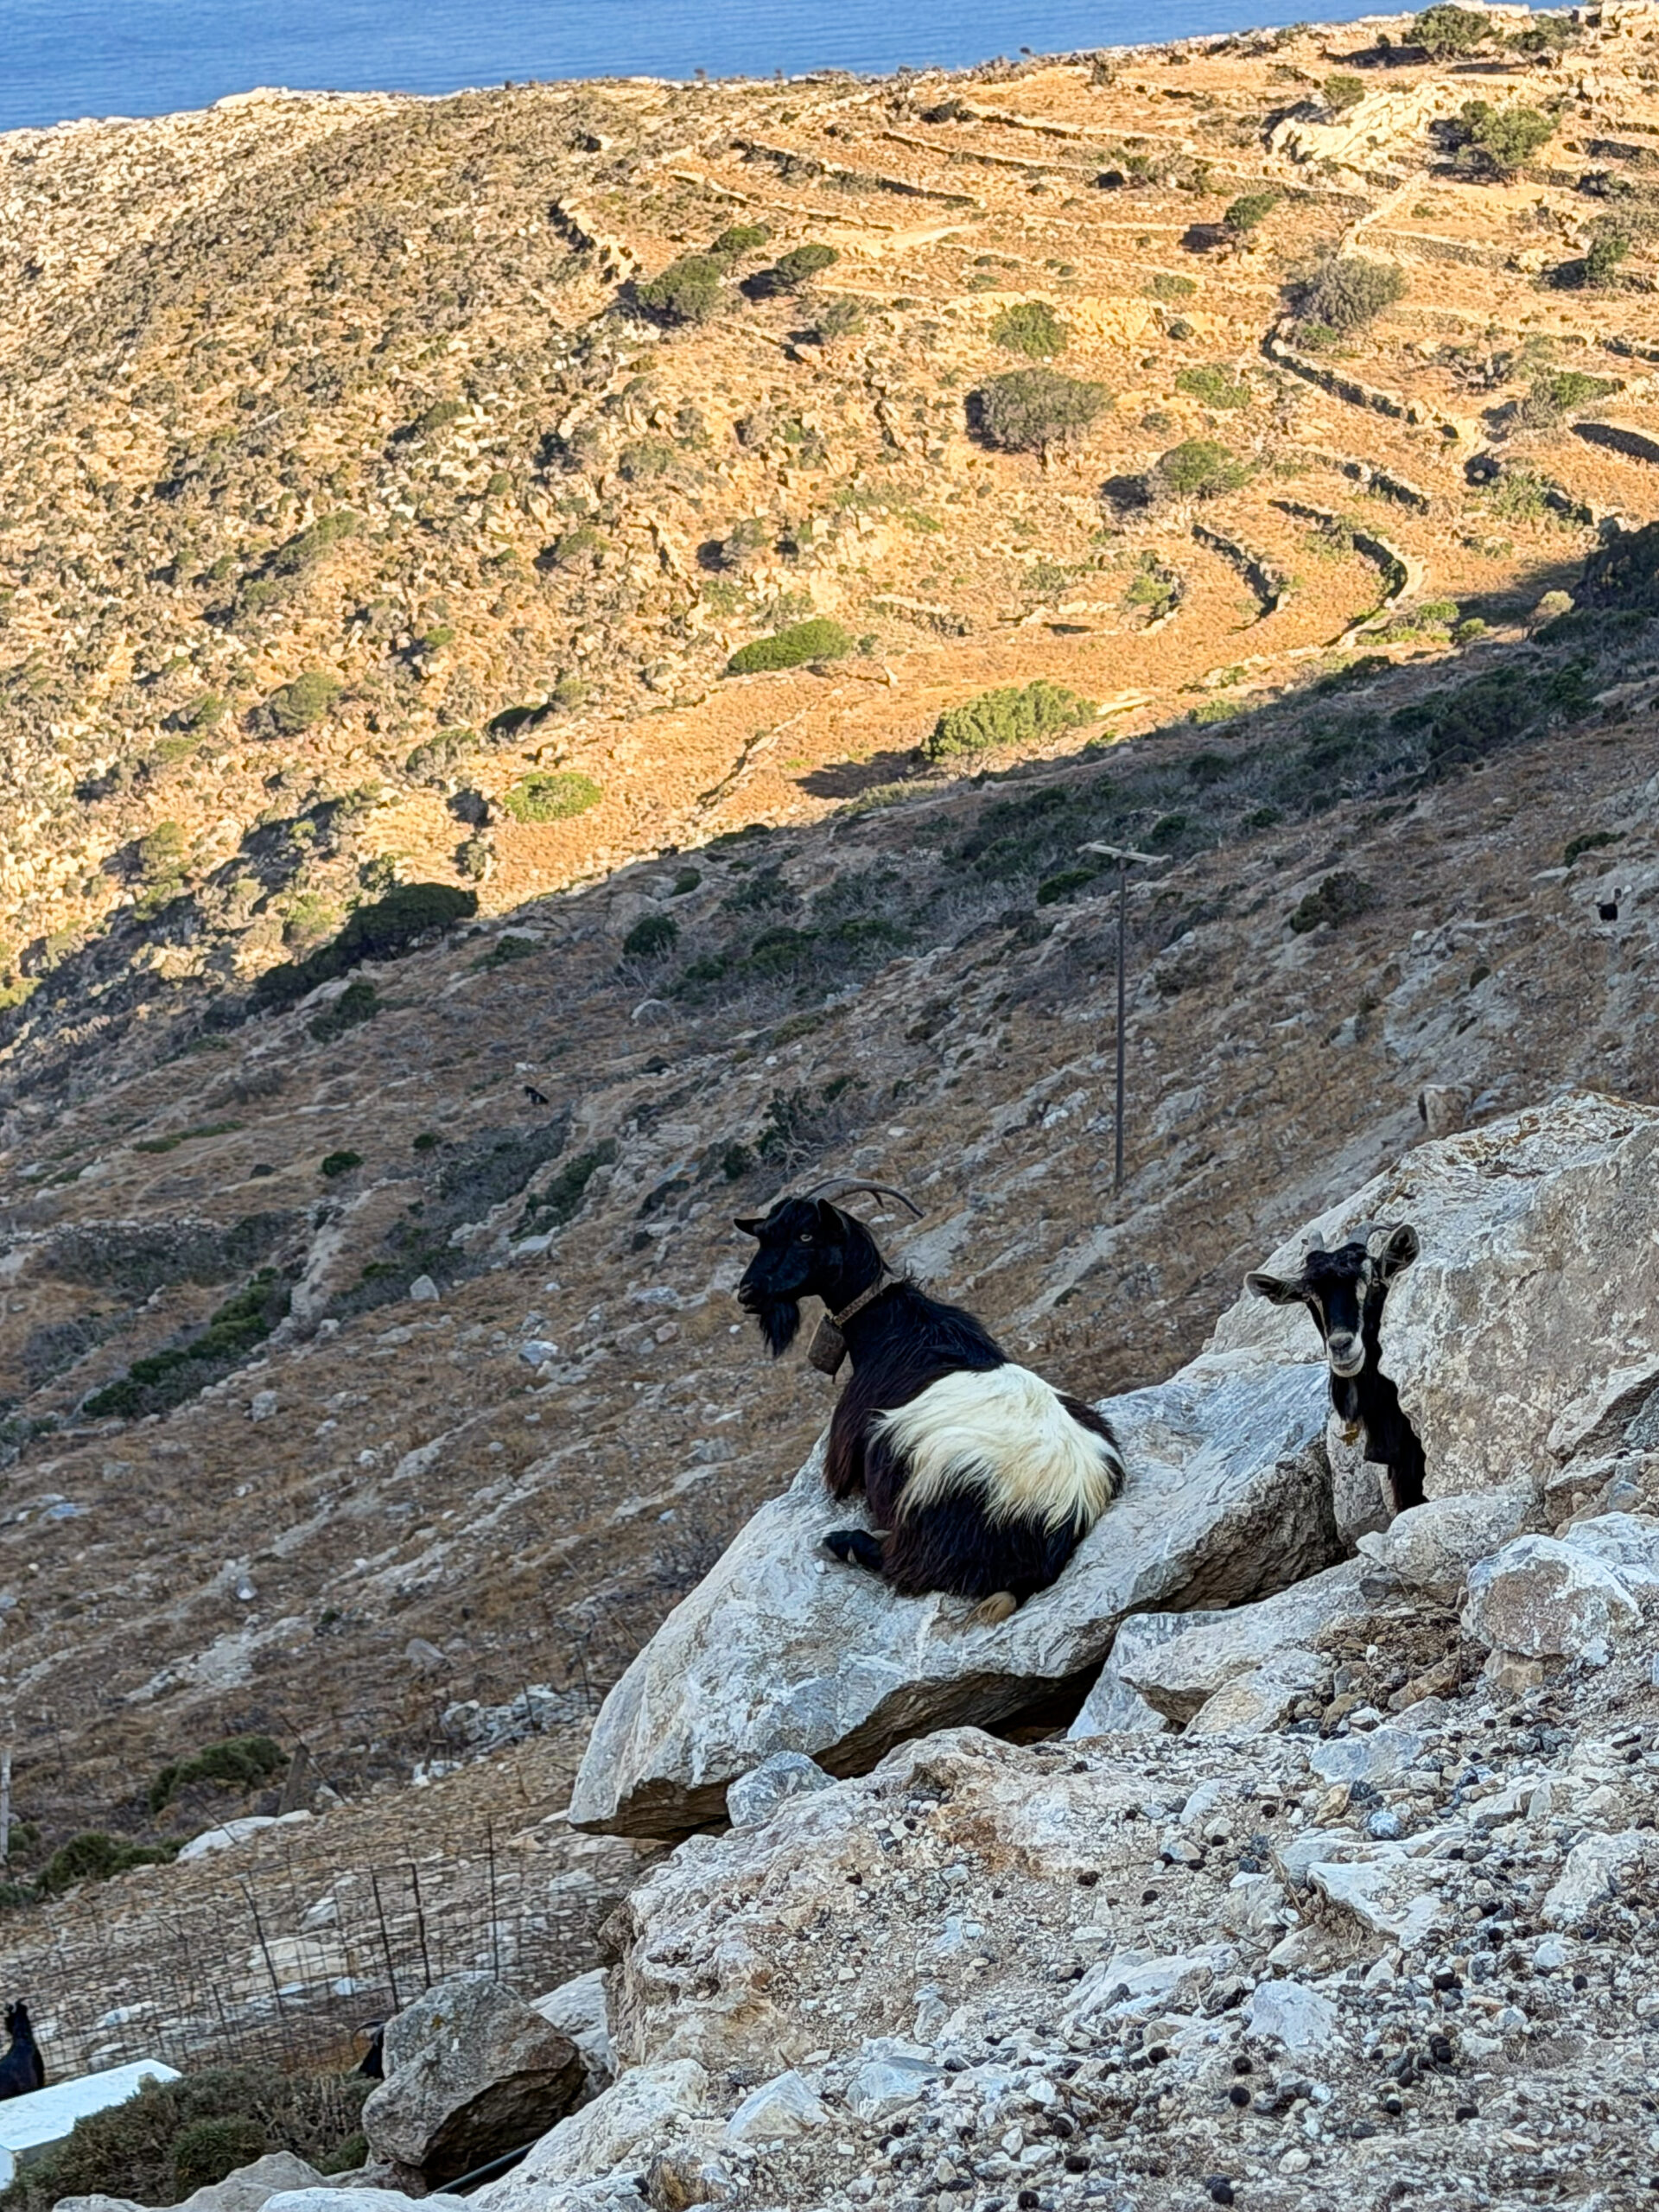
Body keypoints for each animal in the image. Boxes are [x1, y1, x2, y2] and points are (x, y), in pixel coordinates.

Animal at [735, 1179, 1124, 1623]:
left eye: (805, 1236)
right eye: (764, 1235)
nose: (747, 1292)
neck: (890, 1327)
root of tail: (1068, 1511)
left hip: (935, 1507)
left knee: (904, 1563)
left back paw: (843, 1542)